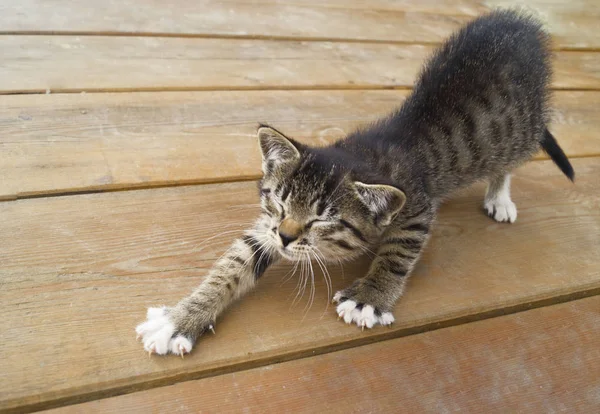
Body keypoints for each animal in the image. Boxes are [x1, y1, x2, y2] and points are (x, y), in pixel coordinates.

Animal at [135, 11, 572, 358]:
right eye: (279, 203)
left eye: (321, 220)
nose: (286, 237)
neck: (358, 154)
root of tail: (519, 21)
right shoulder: (266, 227)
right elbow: (238, 259)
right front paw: (180, 317)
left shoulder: (416, 206)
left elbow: (397, 251)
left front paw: (368, 298)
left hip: (518, 132)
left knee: (514, 156)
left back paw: (500, 195)